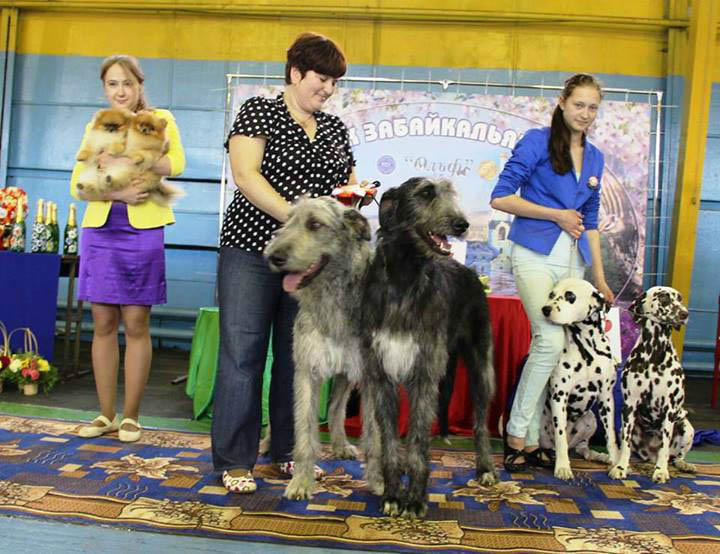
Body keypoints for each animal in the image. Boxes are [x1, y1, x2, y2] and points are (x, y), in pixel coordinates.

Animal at [540, 276, 620, 478]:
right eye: (551, 294)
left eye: (570, 296)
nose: (545, 309)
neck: (587, 348)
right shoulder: (559, 397)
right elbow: (560, 436)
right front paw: (562, 467)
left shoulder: (606, 399)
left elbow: (611, 436)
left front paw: (617, 463)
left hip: (591, 419)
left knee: (582, 448)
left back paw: (598, 455)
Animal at [608, 286, 696, 480]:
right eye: (663, 297)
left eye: (680, 298)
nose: (684, 314)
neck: (655, 353)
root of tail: (650, 456)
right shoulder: (629, 406)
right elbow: (625, 445)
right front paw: (621, 468)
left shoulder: (669, 409)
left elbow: (664, 445)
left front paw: (661, 471)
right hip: (624, 427)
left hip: (686, 428)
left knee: (676, 456)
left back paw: (683, 464)